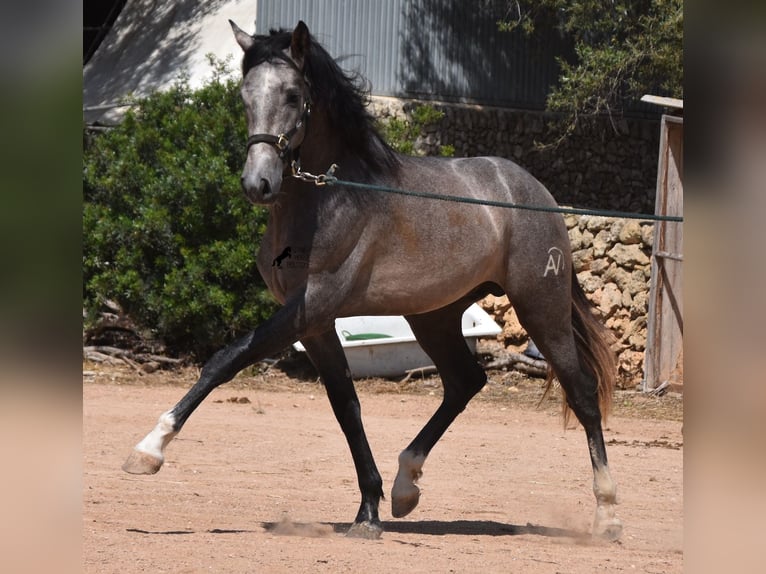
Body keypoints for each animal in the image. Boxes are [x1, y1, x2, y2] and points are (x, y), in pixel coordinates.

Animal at [121, 20, 624, 544]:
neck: (329, 198)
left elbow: (225, 359)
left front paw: (149, 450)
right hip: (434, 316)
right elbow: (347, 407)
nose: (258, 184)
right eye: (244, 95)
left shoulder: (312, 306)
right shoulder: (315, 325)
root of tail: (535, 192)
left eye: (293, 94)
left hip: (539, 305)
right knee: (465, 382)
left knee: (582, 392)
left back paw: (607, 515)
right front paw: (368, 512)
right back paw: (406, 486)